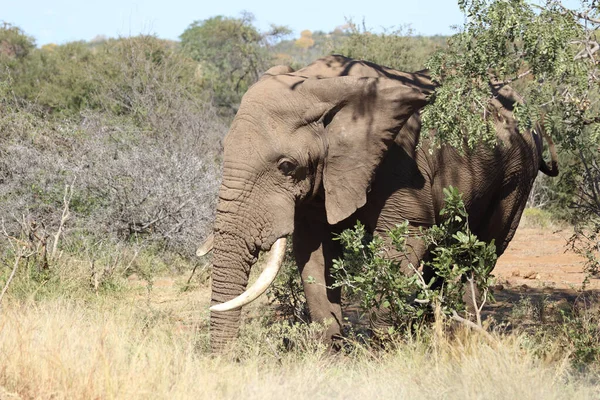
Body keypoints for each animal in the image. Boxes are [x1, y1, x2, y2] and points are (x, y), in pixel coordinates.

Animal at [205, 55, 556, 350]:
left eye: (287, 166)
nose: (230, 359)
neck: (321, 87)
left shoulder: (398, 166)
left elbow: (402, 246)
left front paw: (382, 354)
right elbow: (314, 255)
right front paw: (331, 357)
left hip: (516, 174)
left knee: (486, 249)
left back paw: (466, 336)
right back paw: (429, 331)